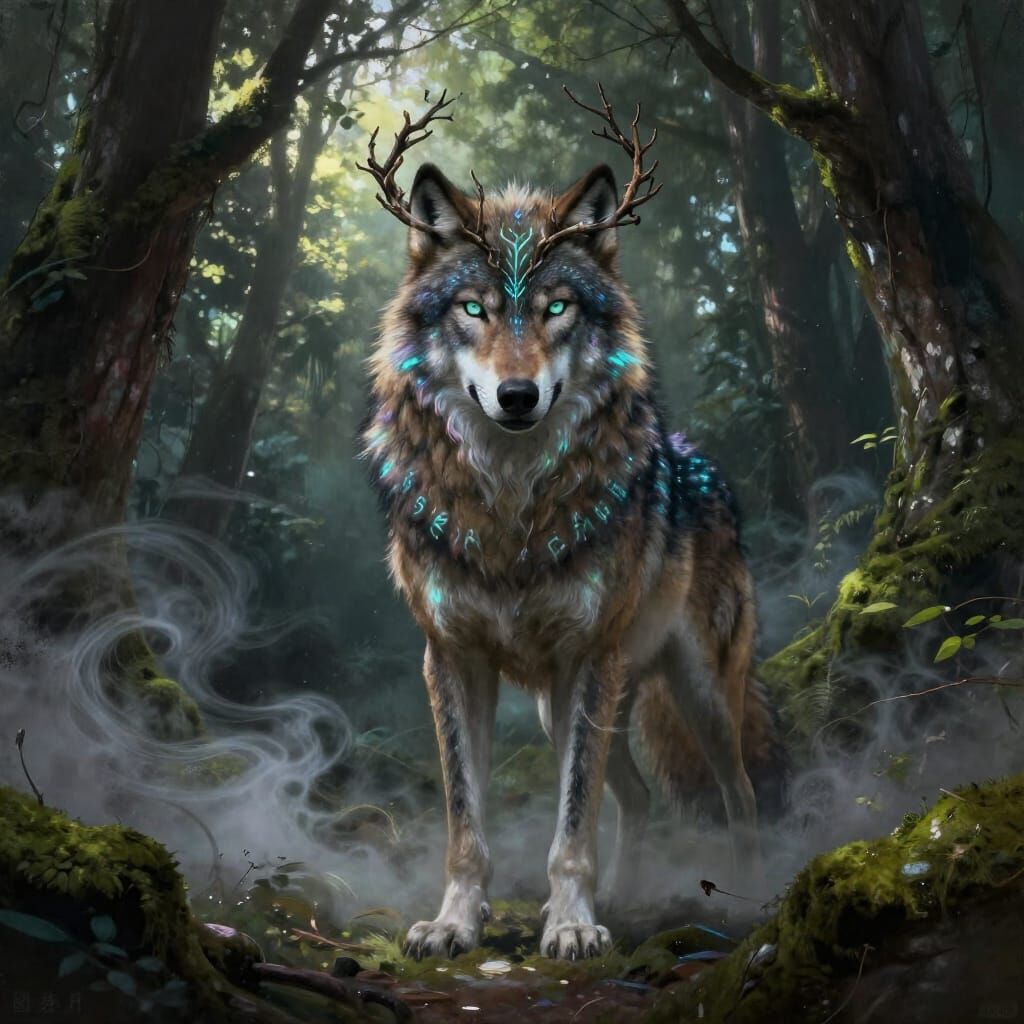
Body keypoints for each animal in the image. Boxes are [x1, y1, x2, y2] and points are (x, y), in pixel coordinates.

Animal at [361, 103, 783, 960]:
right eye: (474, 309)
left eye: (557, 308)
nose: (518, 396)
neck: (509, 509)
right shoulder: (451, 658)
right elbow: (468, 820)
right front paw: (455, 922)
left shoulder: (587, 655)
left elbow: (570, 821)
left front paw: (571, 925)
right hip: (566, 705)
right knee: (637, 797)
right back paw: (623, 895)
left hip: (695, 693)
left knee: (738, 791)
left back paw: (744, 899)